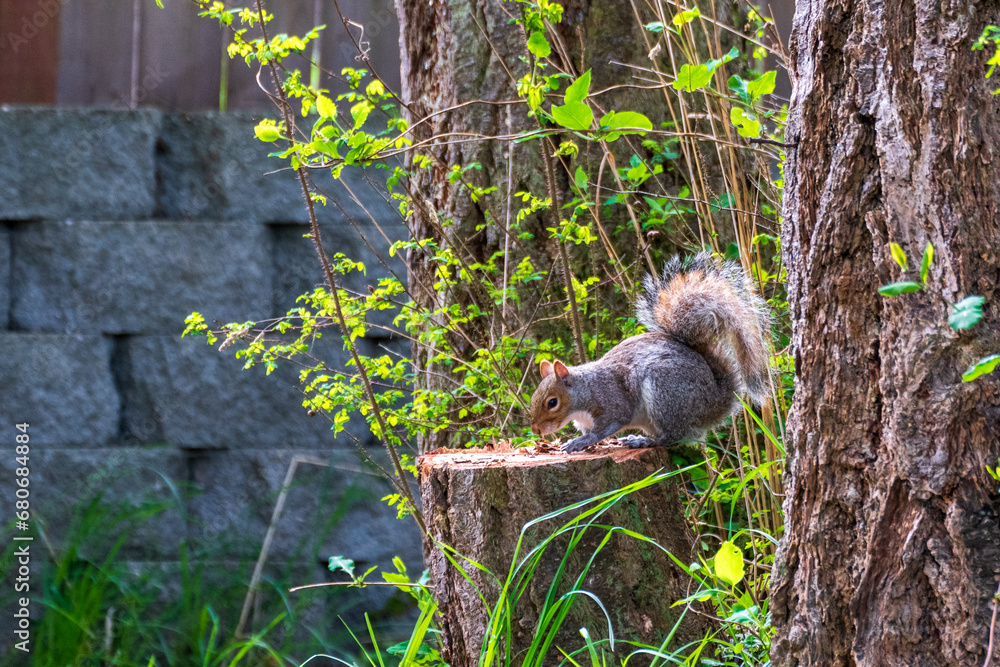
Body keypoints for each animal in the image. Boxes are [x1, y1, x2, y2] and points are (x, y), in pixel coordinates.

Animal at [528, 252, 771, 454]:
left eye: (552, 402)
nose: (536, 430)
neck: (583, 393)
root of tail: (713, 401)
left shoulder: (612, 402)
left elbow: (606, 427)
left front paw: (580, 442)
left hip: (665, 393)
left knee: (674, 436)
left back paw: (643, 441)